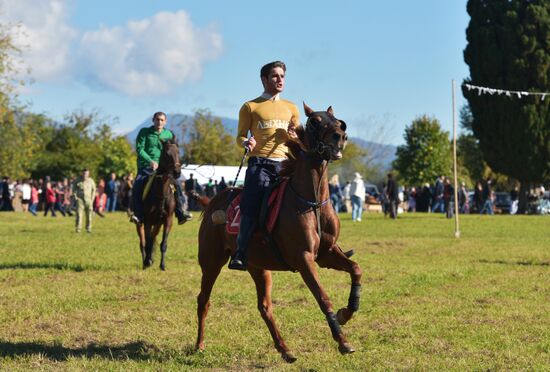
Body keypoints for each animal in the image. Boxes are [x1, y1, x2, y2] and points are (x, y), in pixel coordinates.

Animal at [137, 138, 182, 272]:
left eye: (178, 152)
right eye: (167, 154)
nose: (177, 172)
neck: (161, 193)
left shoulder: (167, 220)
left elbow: (163, 244)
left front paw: (162, 265)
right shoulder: (148, 221)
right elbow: (147, 243)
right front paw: (147, 262)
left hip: (158, 223)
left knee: (153, 238)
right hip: (141, 223)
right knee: (143, 242)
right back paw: (146, 261)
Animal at [197, 103, 362, 362]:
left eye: (337, 121)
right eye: (315, 121)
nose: (340, 137)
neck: (311, 202)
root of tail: (212, 202)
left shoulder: (326, 254)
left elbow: (355, 269)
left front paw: (346, 313)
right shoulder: (304, 259)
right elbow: (322, 296)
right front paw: (342, 340)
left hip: (258, 267)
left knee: (264, 307)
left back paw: (285, 349)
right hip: (211, 262)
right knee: (203, 300)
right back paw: (199, 345)